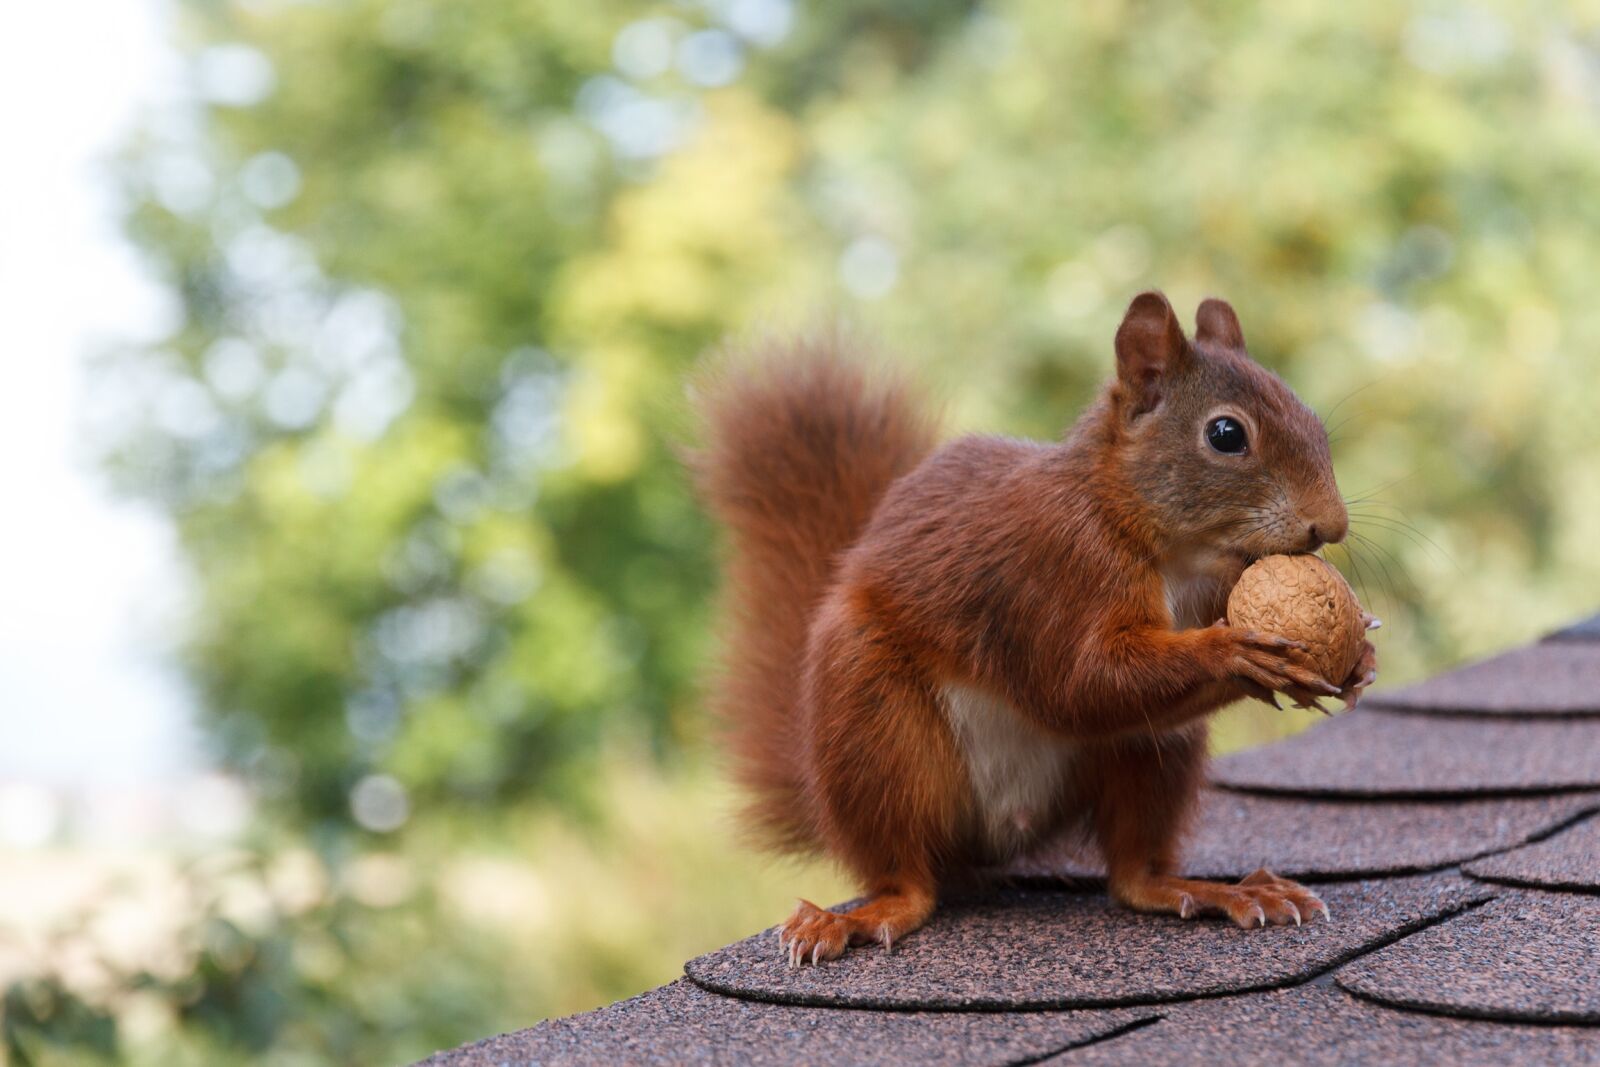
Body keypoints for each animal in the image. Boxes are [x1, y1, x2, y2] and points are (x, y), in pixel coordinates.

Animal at [691, 291, 1378, 967]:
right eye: (1226, 434)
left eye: (1312, 420)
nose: (1331, 525)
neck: (1170, 548)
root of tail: (1003, 832)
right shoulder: (1054, 571)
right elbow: (1079, 683)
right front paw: (1234, 651)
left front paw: (1360, 655)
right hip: (873, 726)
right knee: (906, 872)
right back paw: (867, 913)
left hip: (1156, 751)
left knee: (1133, 874)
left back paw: (1210, 890)